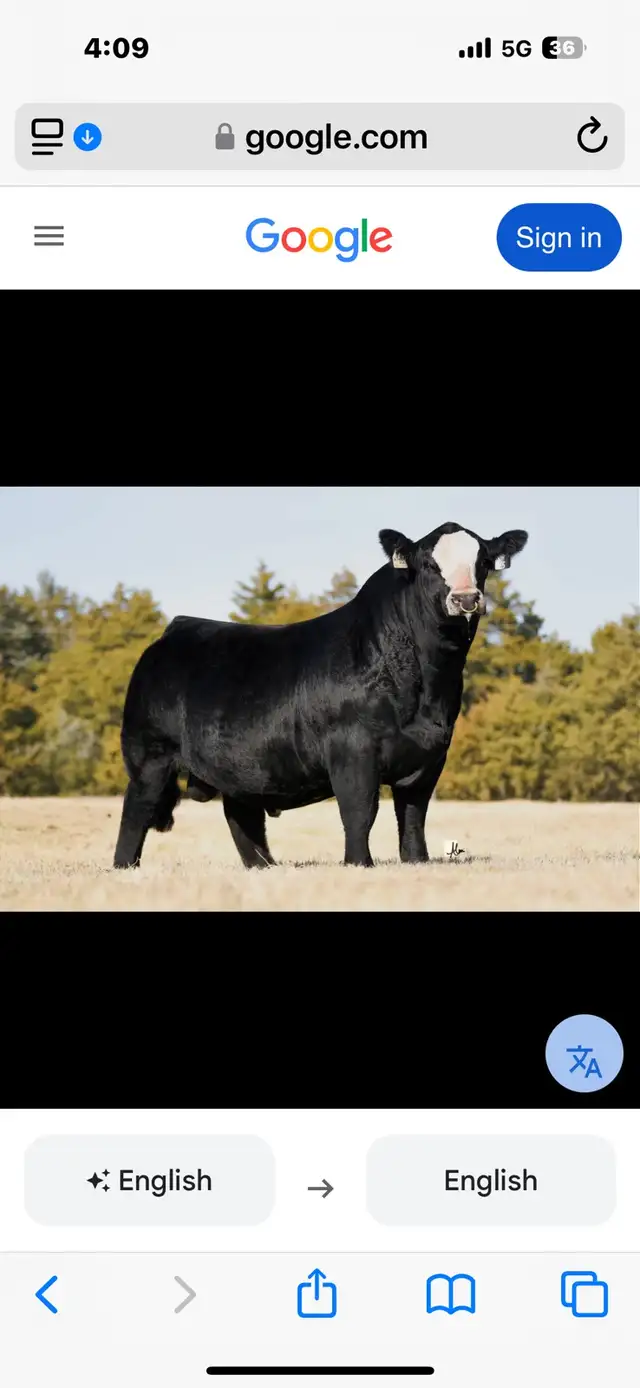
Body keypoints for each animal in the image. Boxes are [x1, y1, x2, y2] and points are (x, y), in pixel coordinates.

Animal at [113, 521, 528, 871]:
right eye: (428, 563)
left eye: (484, 562)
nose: (466, 598)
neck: (426, 687)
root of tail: (177, 628)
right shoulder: (352, 748)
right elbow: (360, 810)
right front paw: (359, 864)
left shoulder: (431, 755)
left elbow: (412, 816)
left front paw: (416, 862)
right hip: (150, 754)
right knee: (136, 811)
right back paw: (124, 867)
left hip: (239, 766)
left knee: (243, 819)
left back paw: (265, 868)